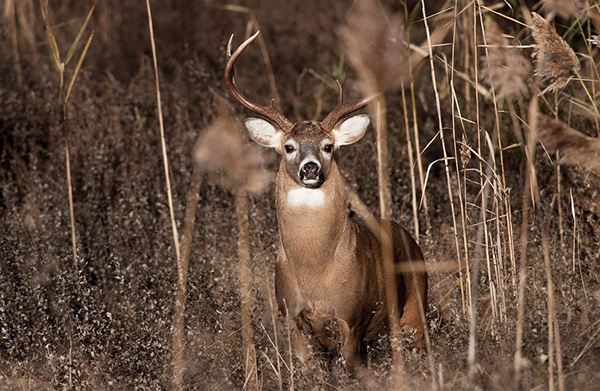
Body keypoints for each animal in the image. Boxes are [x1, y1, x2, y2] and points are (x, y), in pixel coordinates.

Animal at [224, 32, 426, 370]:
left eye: (328, 146)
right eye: (289, 147)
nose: (310, 168)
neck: (314, 272)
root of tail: (409, 238)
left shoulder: (352, 318)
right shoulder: (291, 316)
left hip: (415, 307)